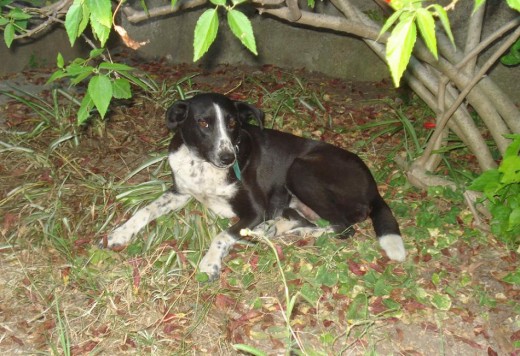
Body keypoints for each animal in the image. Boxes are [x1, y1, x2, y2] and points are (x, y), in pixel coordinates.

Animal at [102, 92, 406, 280]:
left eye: (233, 123)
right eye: (203, 123)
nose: (228, 158)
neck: (203, 165)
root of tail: (374, 188)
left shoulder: (256, 210)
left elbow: (222, 234)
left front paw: (209, 263)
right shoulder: (180, 192)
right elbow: (145, 209)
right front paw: (120, 233)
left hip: (300, 170)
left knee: (344, 226)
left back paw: (287, 233)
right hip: (292, 196)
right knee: (305, 219)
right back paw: (275, 229)